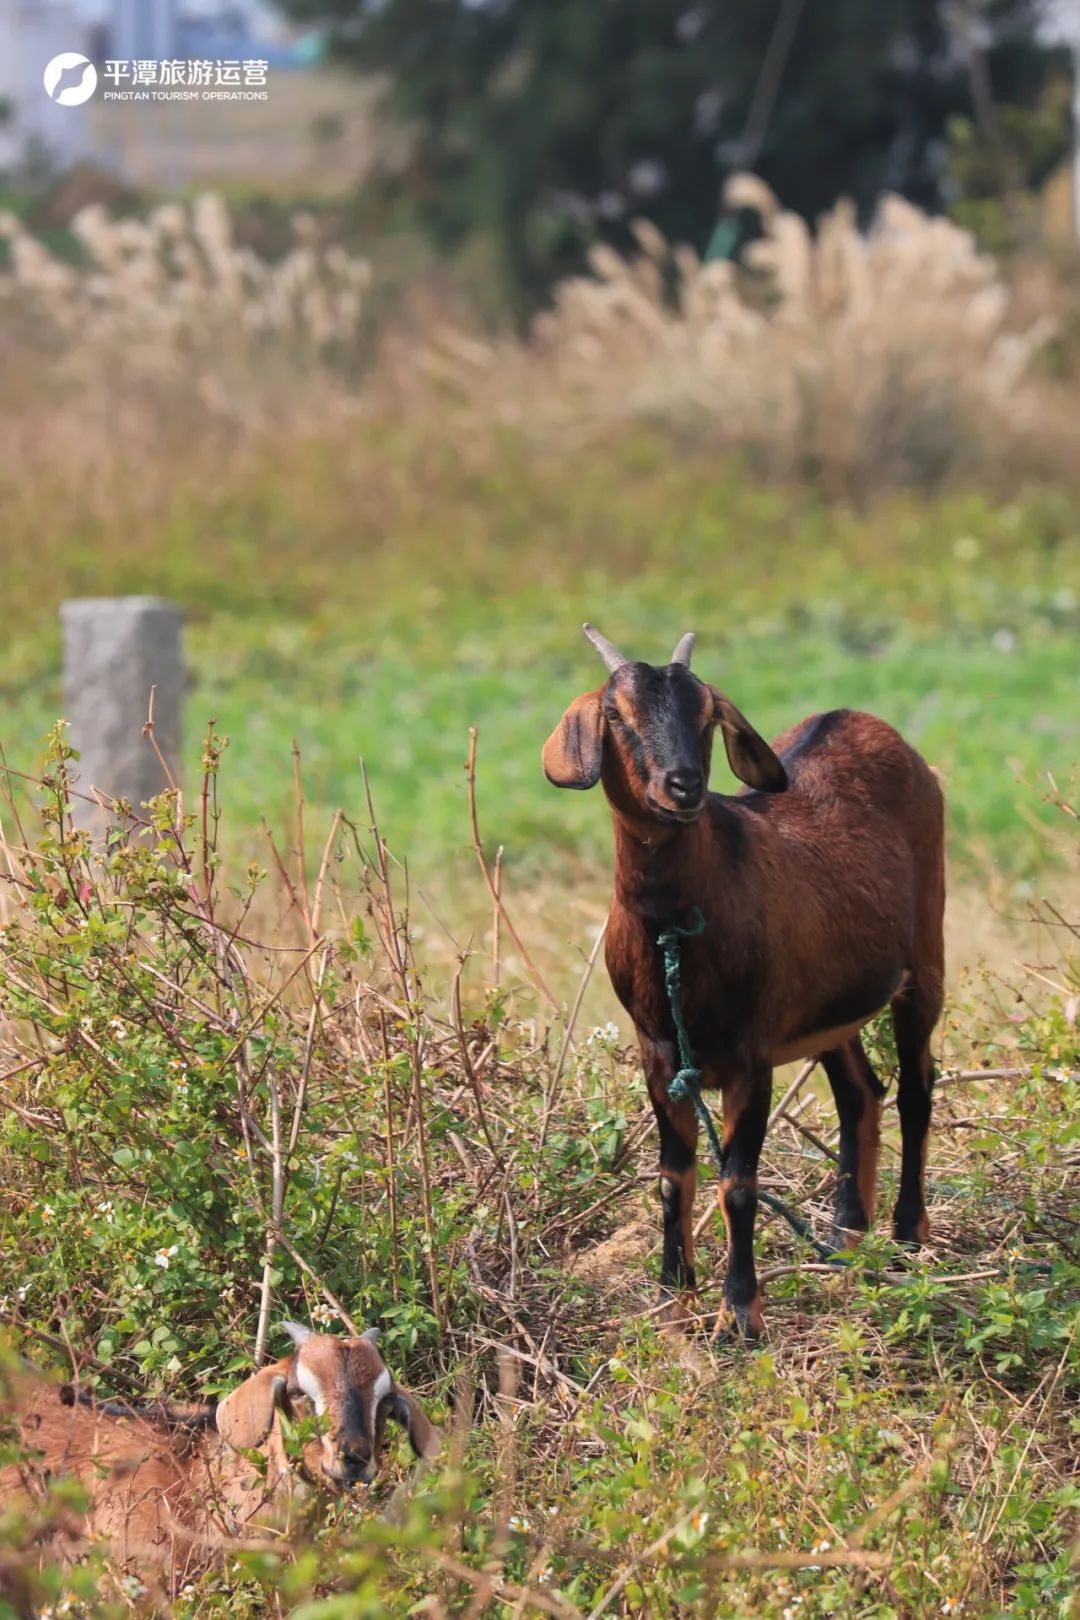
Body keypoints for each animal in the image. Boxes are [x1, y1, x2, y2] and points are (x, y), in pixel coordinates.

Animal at [544, 625, 939, 1334]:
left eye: (708, 714)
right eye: (616, 714)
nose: (683, 786)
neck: (674, 928)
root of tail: (860, 718)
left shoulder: (750, 1058)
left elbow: (738, 1184)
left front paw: (742, 1313)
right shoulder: (660, 1054)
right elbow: (673, 1179)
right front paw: (673, 1299)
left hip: (924, 956)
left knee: (918, 1086)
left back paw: (906, 1236)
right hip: (826, 1002)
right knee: (861, 1091)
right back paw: (846, 1236)